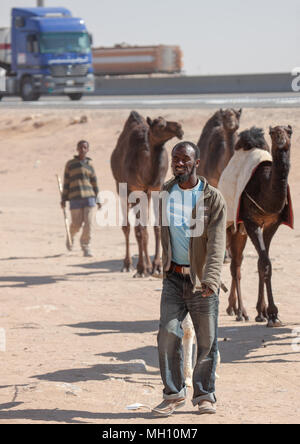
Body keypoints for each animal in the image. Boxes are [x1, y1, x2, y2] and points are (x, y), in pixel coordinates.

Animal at [111, 110, 184, 276]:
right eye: (161, 125)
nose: (179, 127)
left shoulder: (156, 188)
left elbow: (157, 227)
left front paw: (157, 266)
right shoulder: (135, 189)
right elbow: (138, 230)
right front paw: (141, 268)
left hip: (146, 194)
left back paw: (149, 266)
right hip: (122, 188)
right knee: (129, 227)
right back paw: (129, 264)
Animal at [226, 125, 294, 326]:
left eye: (289, 132)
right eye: (274, 133)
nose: (281, 140)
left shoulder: (272, 224)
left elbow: (263, 263)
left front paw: (264, 312)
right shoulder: (250, 222)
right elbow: (265, 263)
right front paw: (272, 314)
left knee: (241, 262)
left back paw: (245, 310)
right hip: (233, 224)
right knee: (236, 265)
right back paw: (240, 312)